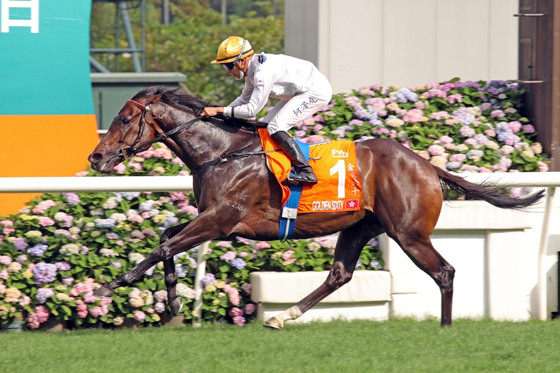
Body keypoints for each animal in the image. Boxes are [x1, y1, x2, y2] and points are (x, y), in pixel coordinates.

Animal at [87, 85, 544, 326]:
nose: (95, 157)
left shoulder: (220, 221)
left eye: (124, 119)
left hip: (409, 232)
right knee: (340, 274)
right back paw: (282, 315)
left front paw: (112, 285)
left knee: (444, 271)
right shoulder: (214, 221)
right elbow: (166, 238)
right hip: (360, 225)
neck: (222, 153)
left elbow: (164, 245)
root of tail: (426, 165)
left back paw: (447, 329)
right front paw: (173, 301)